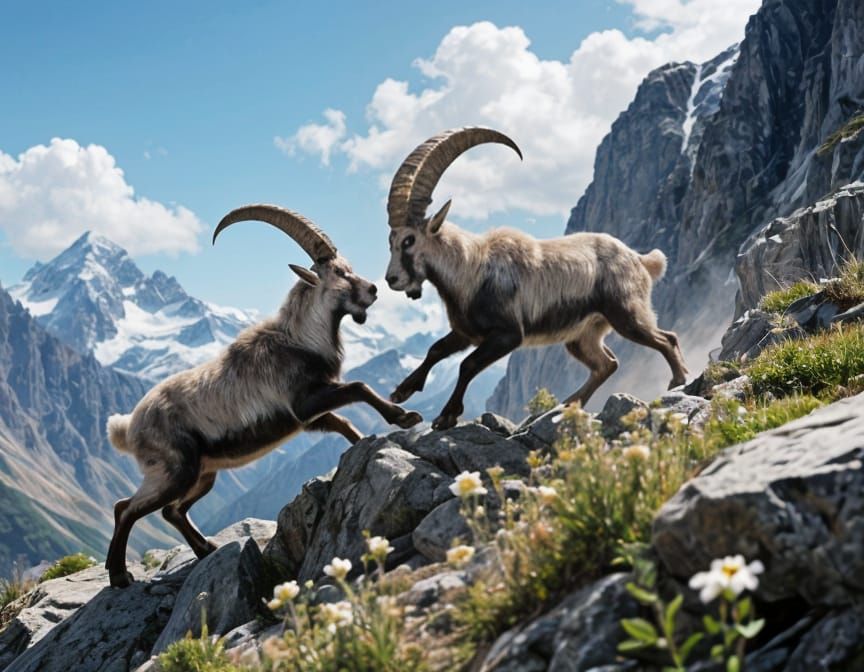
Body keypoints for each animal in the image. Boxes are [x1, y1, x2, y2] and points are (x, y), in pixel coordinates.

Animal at [105, 205, 422, 588]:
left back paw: (205, 550)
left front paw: (363, 442)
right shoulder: (304, 403)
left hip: (203, 474)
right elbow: (358, 388)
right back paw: (119, 575)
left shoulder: (308, 417)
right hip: (173, 470)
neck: (301, 339)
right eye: (337, 272)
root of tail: (127, 427)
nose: (373, 289)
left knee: (170, 510)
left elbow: (343, 421)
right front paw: (403, 416)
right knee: (127, 508)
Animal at [384, 127, 688, 430]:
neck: (471, 268)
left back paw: (677, 381)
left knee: (666, 338)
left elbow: (467, 365)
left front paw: (446, 416)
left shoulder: (507, 334)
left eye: (409, 240)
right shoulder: (466, 332)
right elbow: (436, 349)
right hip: (583, 335)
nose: (391, 279)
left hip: (626, 314)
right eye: (391, 241)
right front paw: (401, 392)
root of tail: (640, 259)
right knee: (607, 363)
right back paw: (569, 403)